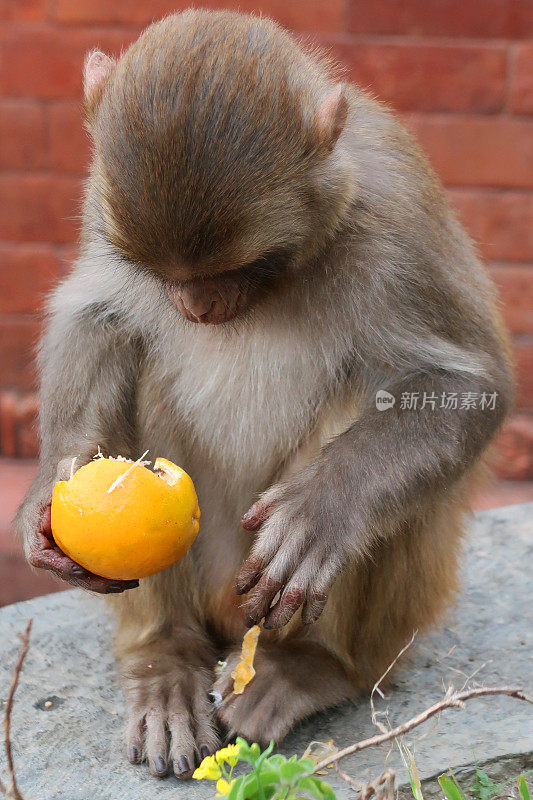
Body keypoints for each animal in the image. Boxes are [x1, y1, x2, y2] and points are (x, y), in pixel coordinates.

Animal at [16, 6, 512, 780]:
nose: (196, 307)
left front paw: (326, 507)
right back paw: (166, 658)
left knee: (369, 390)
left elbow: (467, 387)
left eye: (241, 266)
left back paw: (306, 668)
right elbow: (96, 316)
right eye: (158, 269)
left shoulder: (395, 211)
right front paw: (50, 486)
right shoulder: (101, 207)